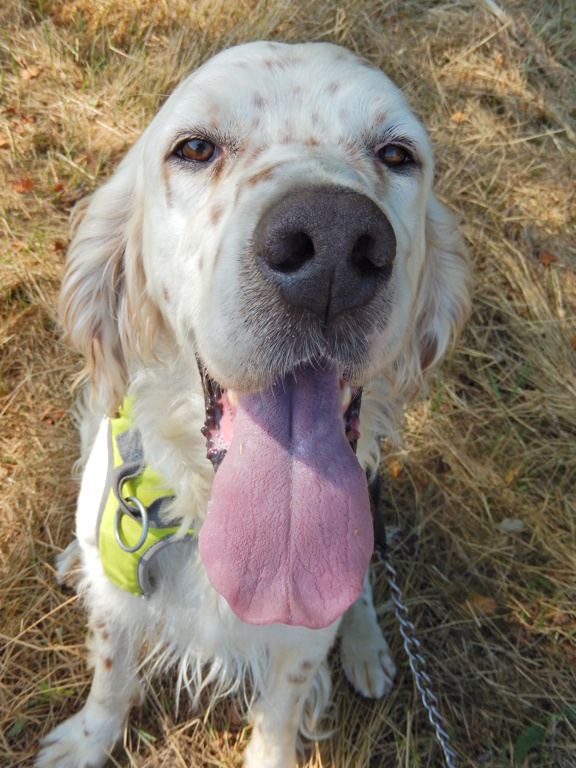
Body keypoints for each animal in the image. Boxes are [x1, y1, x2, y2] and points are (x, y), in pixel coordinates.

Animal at [36, 40, 470, 768]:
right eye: (194, 148)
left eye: (396, 154)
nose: (333, 244)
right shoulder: (120, 603)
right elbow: (109, 677)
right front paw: (85, 743)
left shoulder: (301, 637)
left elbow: (281, 712)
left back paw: (368, 646)